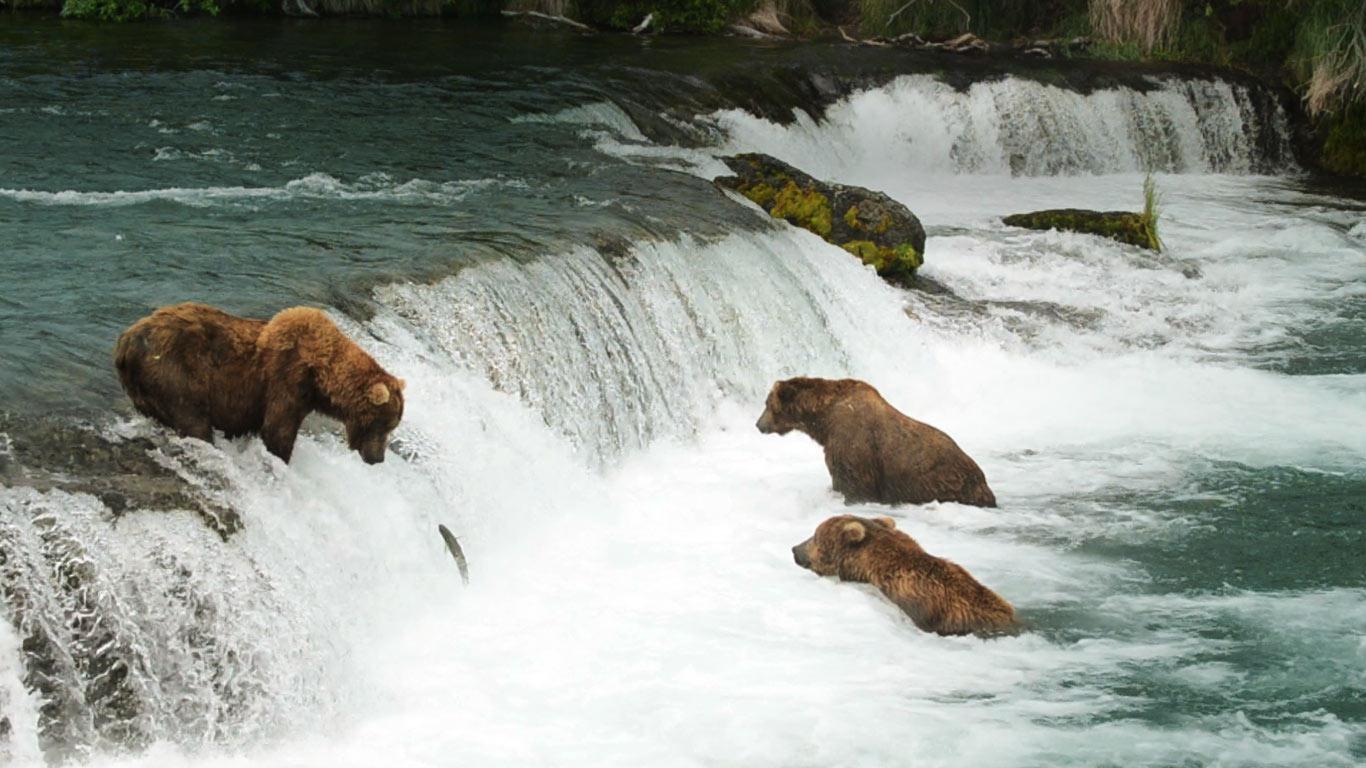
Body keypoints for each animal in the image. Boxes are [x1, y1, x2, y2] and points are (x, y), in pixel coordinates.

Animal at [114, 302, 401, 464]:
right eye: (383, 424)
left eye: (392, 426)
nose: (377, 459)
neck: (320, 376)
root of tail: (126, 341)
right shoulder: (287, 380)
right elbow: (277, 431)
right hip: (175, 372)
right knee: (193, 420)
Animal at [754, 377, 999, 508]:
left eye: (766, 403)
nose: (758, 424)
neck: (824, 419)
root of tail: (983, 481)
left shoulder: (852, 444)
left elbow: (853, 483)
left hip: (944, 482)